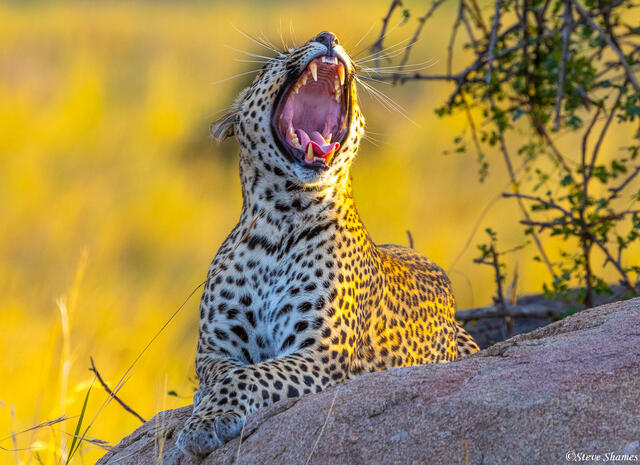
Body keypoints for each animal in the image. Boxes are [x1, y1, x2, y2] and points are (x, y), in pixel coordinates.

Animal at [176, 31, 479, 457]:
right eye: (277, 59)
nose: (328, 36)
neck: (281, 220)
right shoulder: (214, 350)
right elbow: (225, 373)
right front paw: (205, 409)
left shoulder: (323, 351)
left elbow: (248, 376)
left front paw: (208, 421)